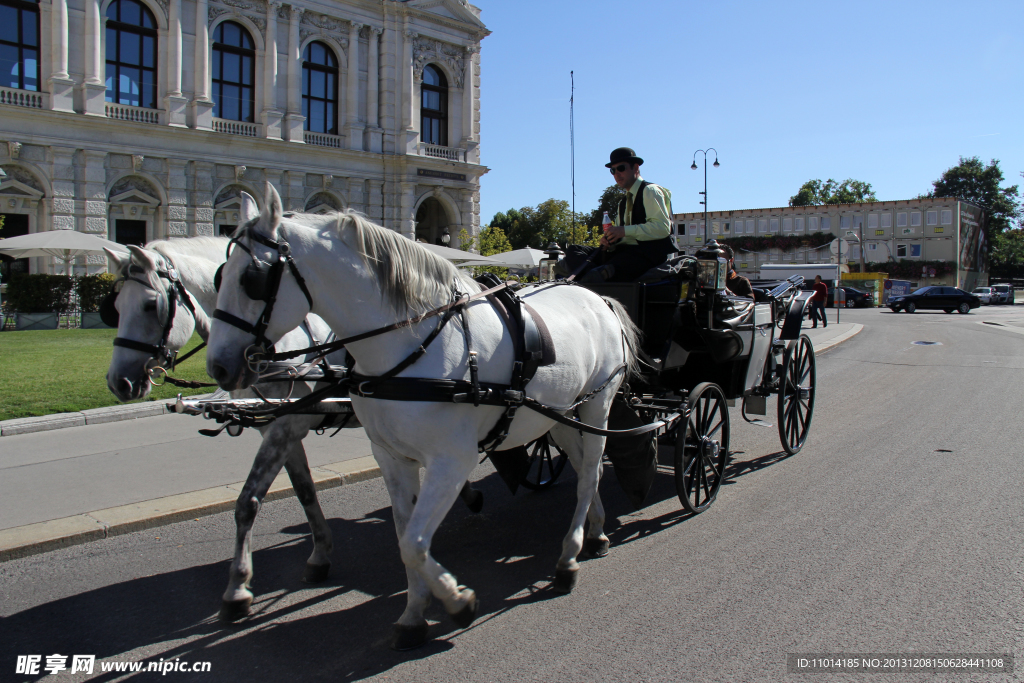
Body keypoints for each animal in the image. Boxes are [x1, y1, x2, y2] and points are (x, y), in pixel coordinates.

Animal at [104, 191, 350, 618]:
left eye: (151, 305)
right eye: (116, 306)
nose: (119, 381)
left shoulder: (285, 427)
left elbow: (247, 502)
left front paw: (237, 586)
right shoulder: (280, 426)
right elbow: (304, 491)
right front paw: (320, 553)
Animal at [205, 183, 638, 651]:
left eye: (252, 279)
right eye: (219, 276)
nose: (219, 367)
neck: (413, 343)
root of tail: (597, 297)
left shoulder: (452, 461)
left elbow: (414, 542)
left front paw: (457, 600)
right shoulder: (391, 458)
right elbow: (403, 538)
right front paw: (414, 615)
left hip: (597, 403)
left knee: (590, 472)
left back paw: (568, 558)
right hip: (560, 415)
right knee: (583, 468)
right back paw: (594, 531)